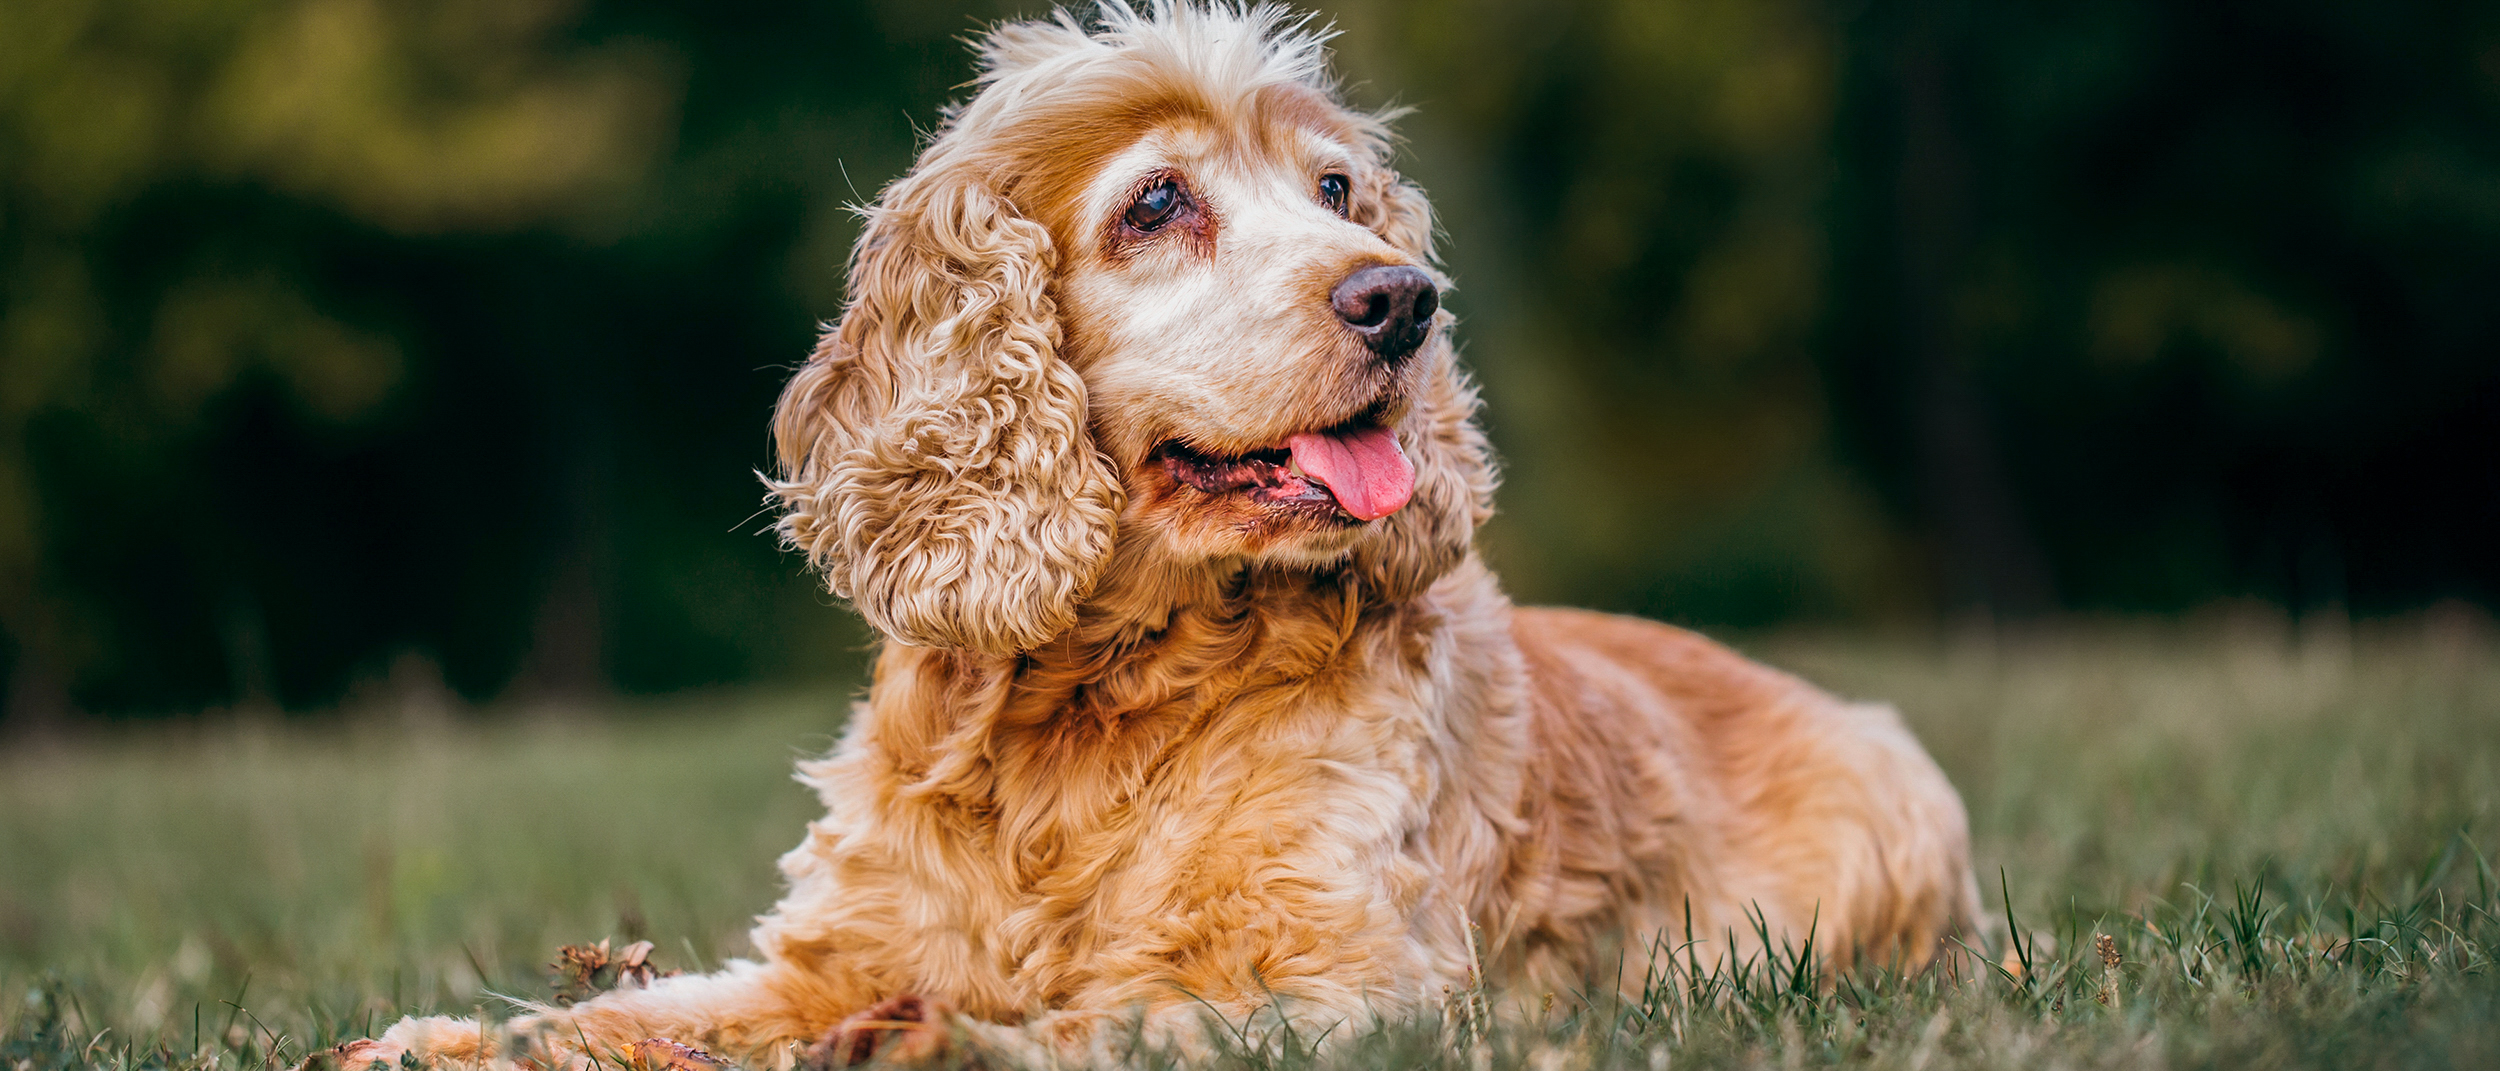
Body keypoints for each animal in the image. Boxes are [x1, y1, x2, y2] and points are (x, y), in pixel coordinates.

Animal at [327, 4, 1970, 1065]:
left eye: (1336, 190)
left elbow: (1097, 1023)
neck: (1100, 692)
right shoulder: (836, 946)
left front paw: (938, 1041)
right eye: (1158, 203)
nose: (1403, 296)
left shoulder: (1346, 983)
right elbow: (626, 1016)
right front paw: (439, 1038)